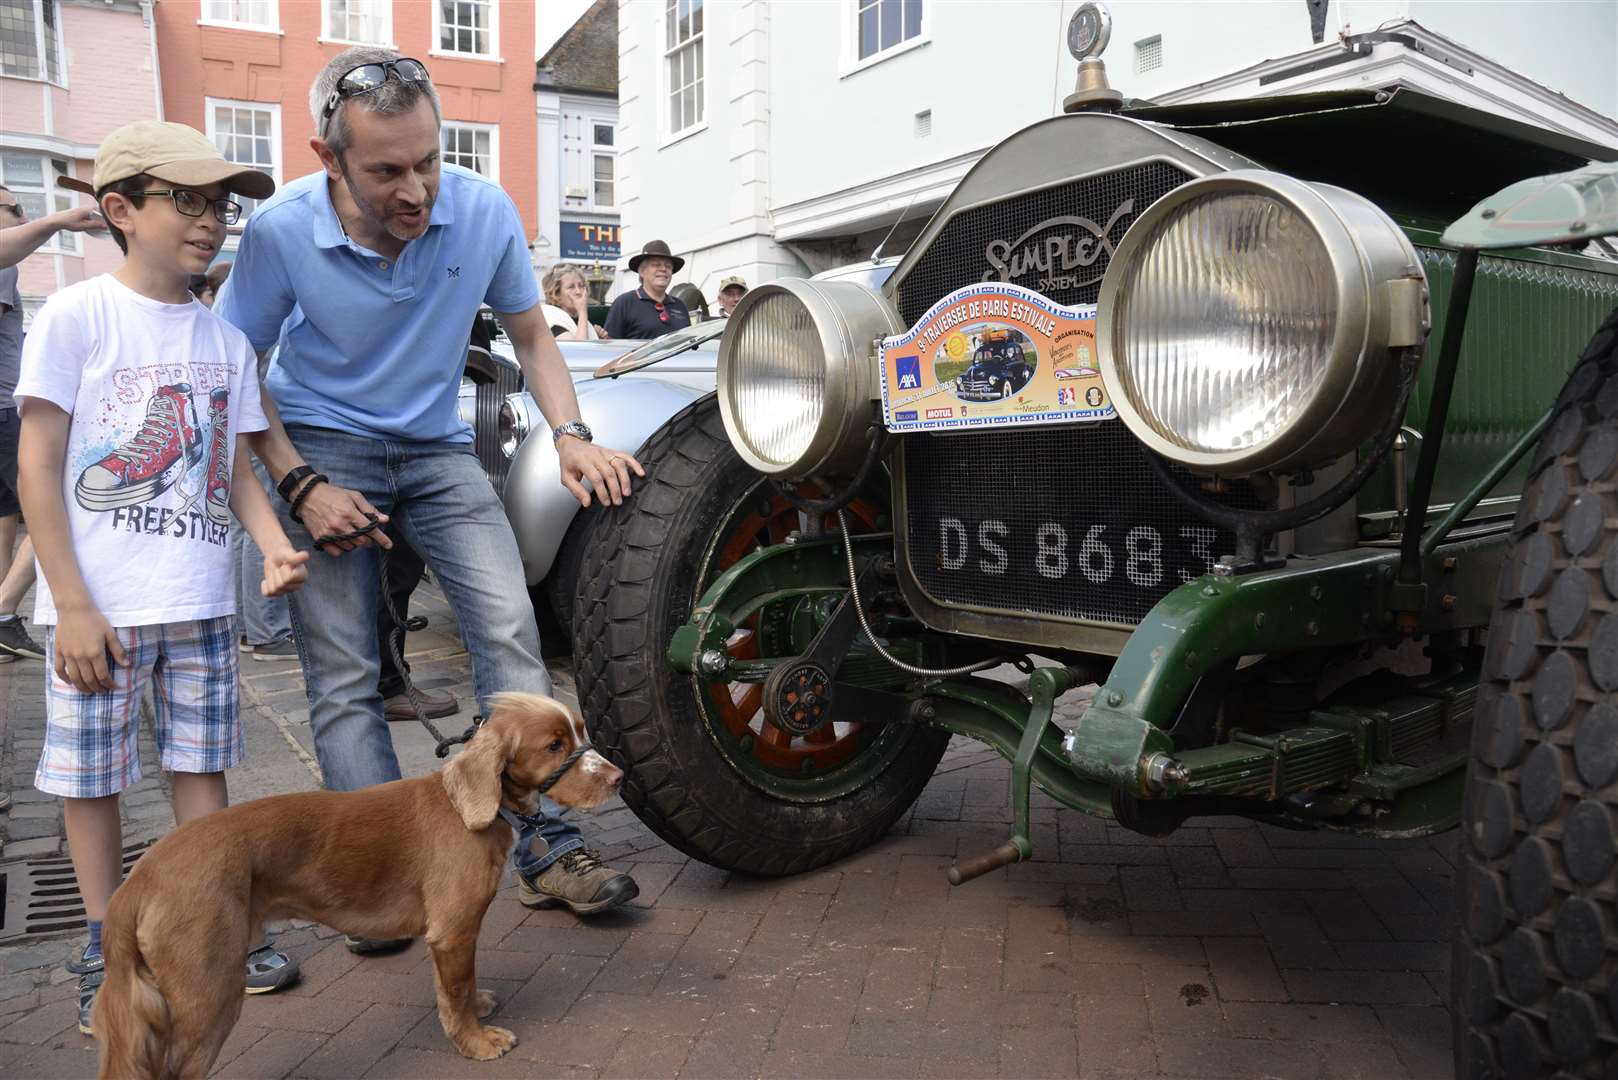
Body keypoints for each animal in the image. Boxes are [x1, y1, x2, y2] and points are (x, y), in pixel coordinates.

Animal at [93, 696, 624, 1075]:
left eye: (580, 730)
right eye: (553, 746)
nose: (619, 777)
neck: (471, 809)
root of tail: (137, 881)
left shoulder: (454, 936)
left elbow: (462, 984)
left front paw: (479, 1010)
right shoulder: (453, 930)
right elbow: (455, 991)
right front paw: (476, 1041)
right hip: (210, 993)